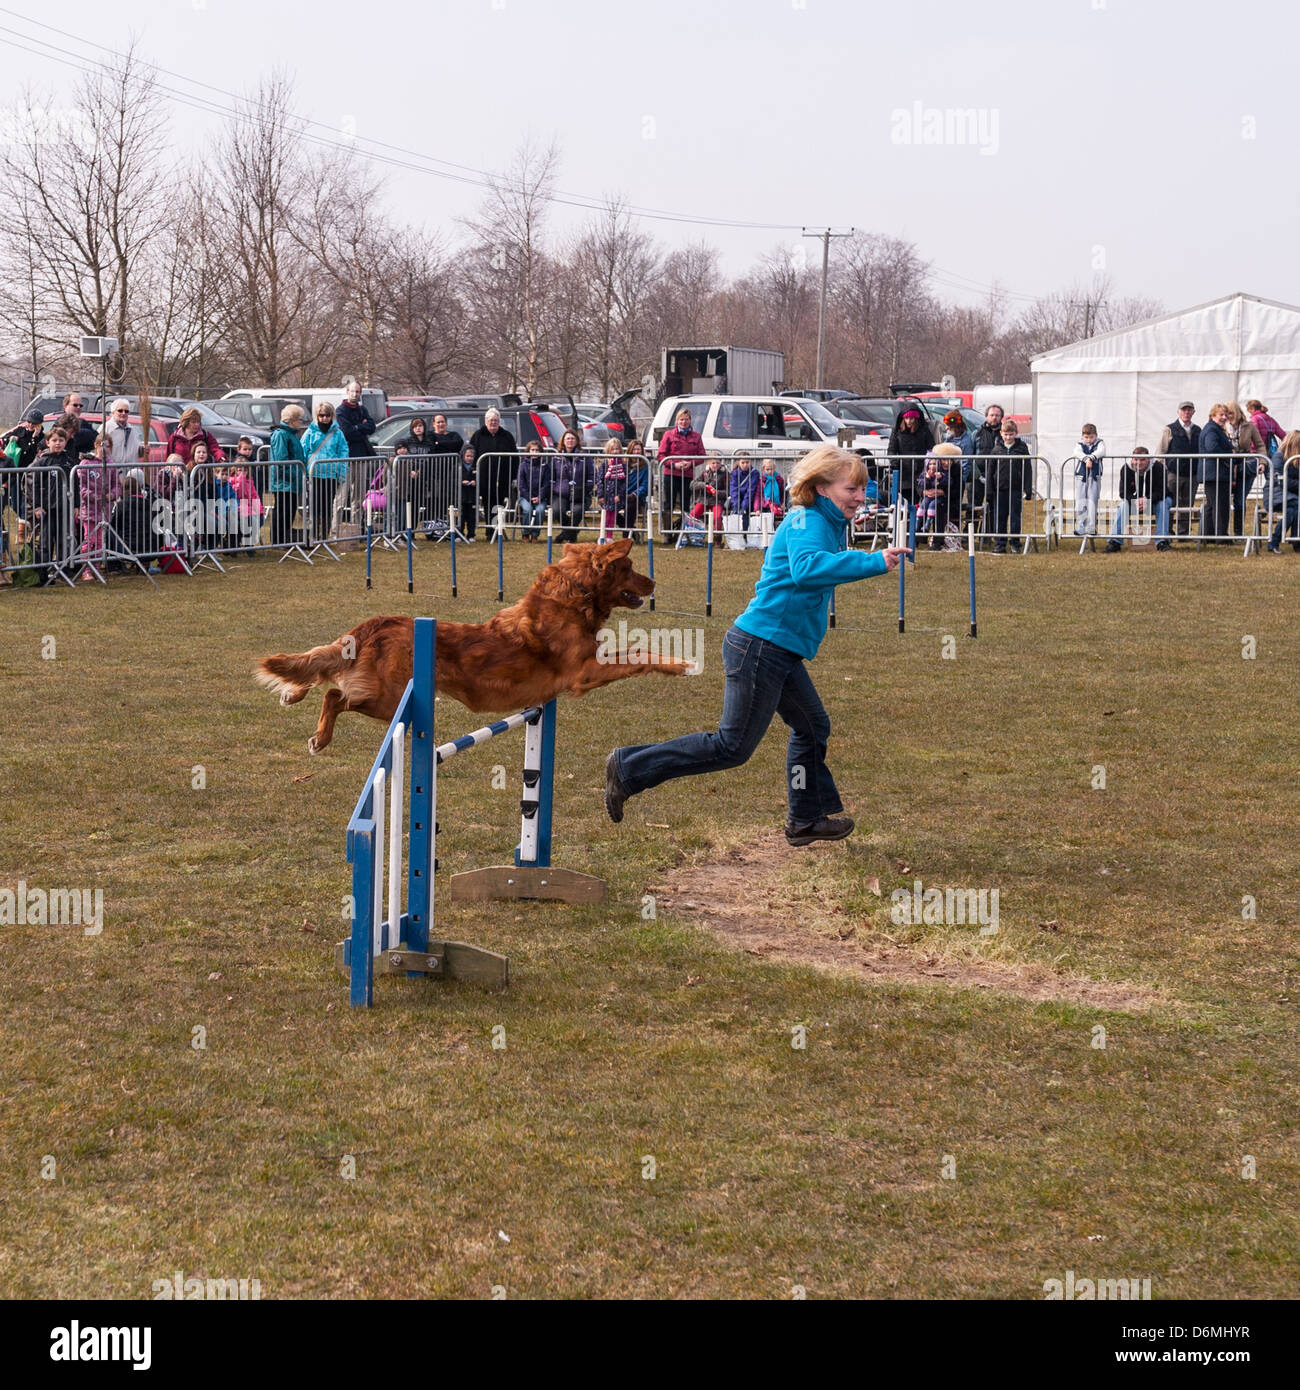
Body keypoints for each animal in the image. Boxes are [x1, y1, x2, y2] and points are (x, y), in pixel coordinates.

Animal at [258, 536, 695, 756]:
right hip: (392, 700)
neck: (576, 594)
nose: (653, 583)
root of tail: (380, 622)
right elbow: (639, 654)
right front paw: (680, 664)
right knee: (334, 694)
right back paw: (319, 738)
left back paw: (293, 696)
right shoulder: (584, 672)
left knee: (326, 678)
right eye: (630, 567)